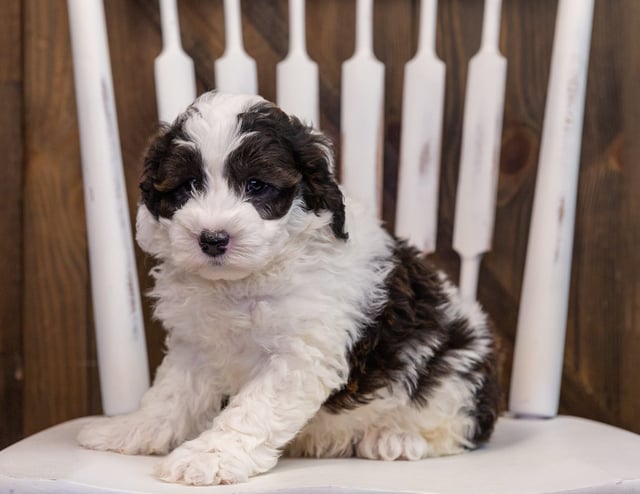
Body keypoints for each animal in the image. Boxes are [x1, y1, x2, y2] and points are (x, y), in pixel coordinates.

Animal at [77, 90, 500, 484]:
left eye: (256, 185)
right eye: (189, 185)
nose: (212, 239)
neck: (241, 281)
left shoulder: (299, 355)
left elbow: (252, 410)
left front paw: (209, 456)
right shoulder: (193, 347)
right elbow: (168, 396)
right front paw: (130, 429)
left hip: (457, 373)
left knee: (457, 426)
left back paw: (395, 438)